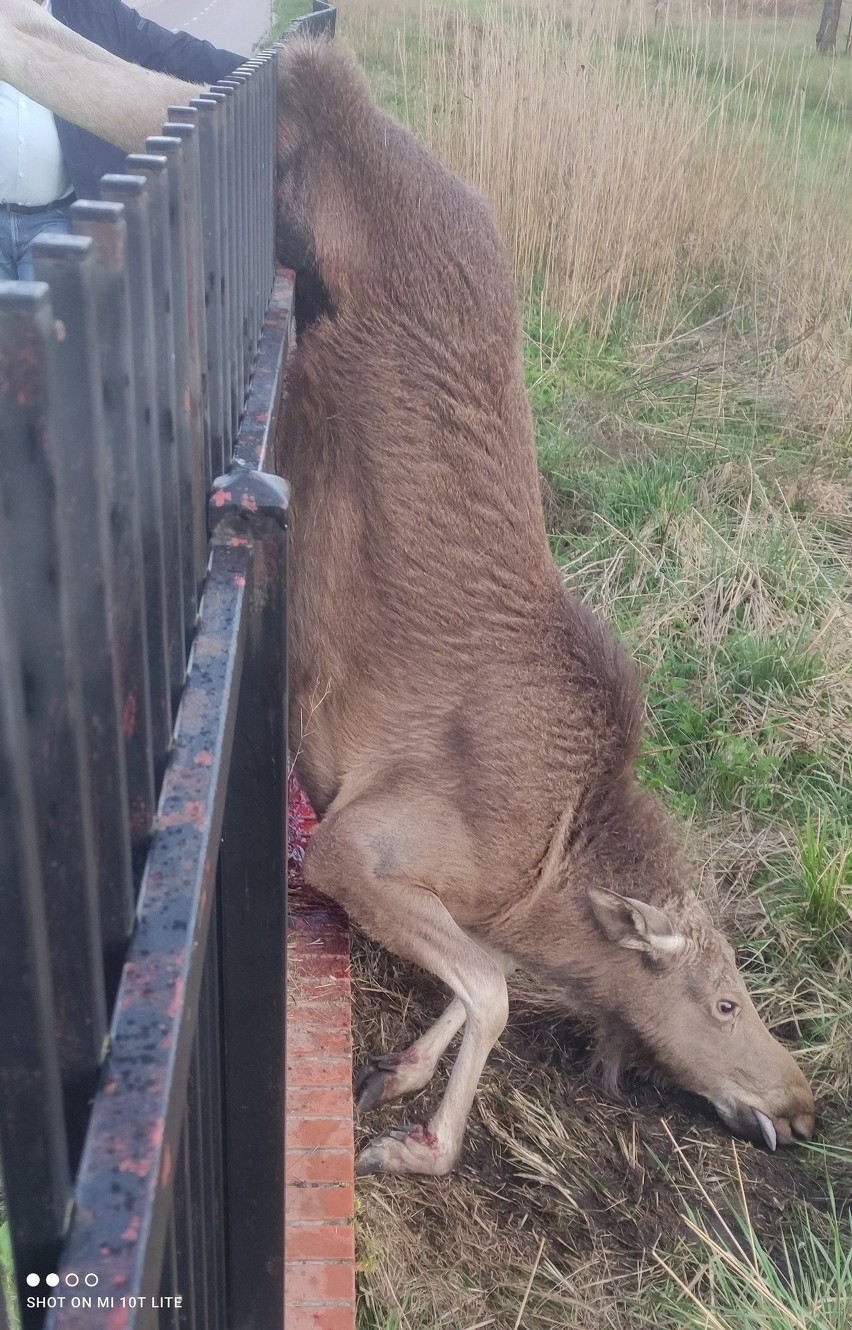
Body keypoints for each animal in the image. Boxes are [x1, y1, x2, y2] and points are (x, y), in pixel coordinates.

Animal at [0, 0, 808, 1175]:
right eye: (727, 1002)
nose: (804, 1100)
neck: (543, 877)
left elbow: (487, 979)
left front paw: (403, 1072)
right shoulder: (359, 843)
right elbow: (496, 990)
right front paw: (421, 1140)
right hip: (275, 170)